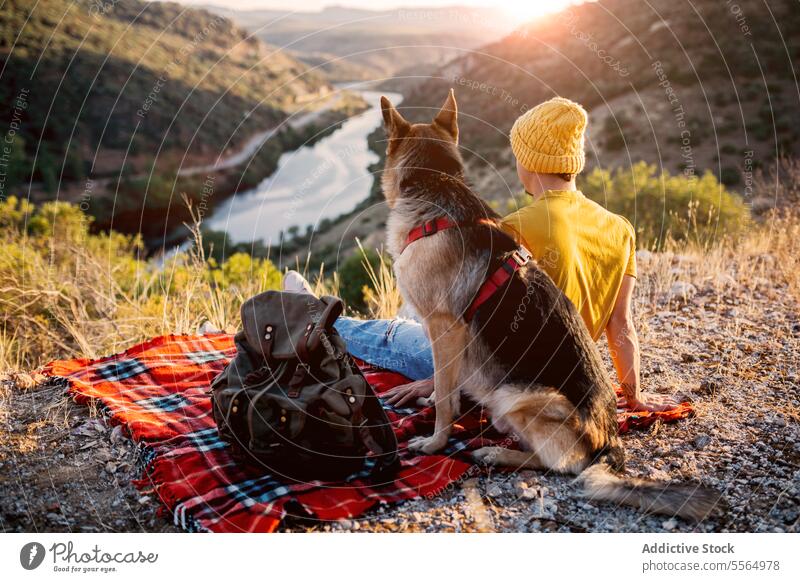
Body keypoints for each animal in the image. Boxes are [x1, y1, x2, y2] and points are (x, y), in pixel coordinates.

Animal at [380, 92, 720, 524]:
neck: (438, 188)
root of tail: (610, 439)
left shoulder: (445, 329)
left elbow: (444, 397)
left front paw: (435, 442)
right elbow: (445, 389)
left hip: (516, 398)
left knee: (558, 464)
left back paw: (496, 452)